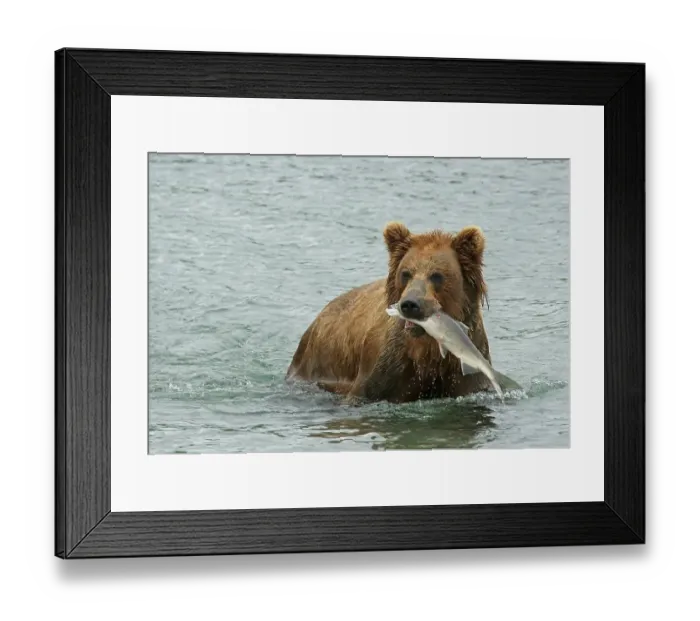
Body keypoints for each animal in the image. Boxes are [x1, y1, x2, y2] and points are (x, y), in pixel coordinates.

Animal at [286, 221, 517, 403]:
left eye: (437, 275)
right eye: (406, 273)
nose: (410, 304)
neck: (426, 350)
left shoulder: (465, 372)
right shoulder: (386, 369)